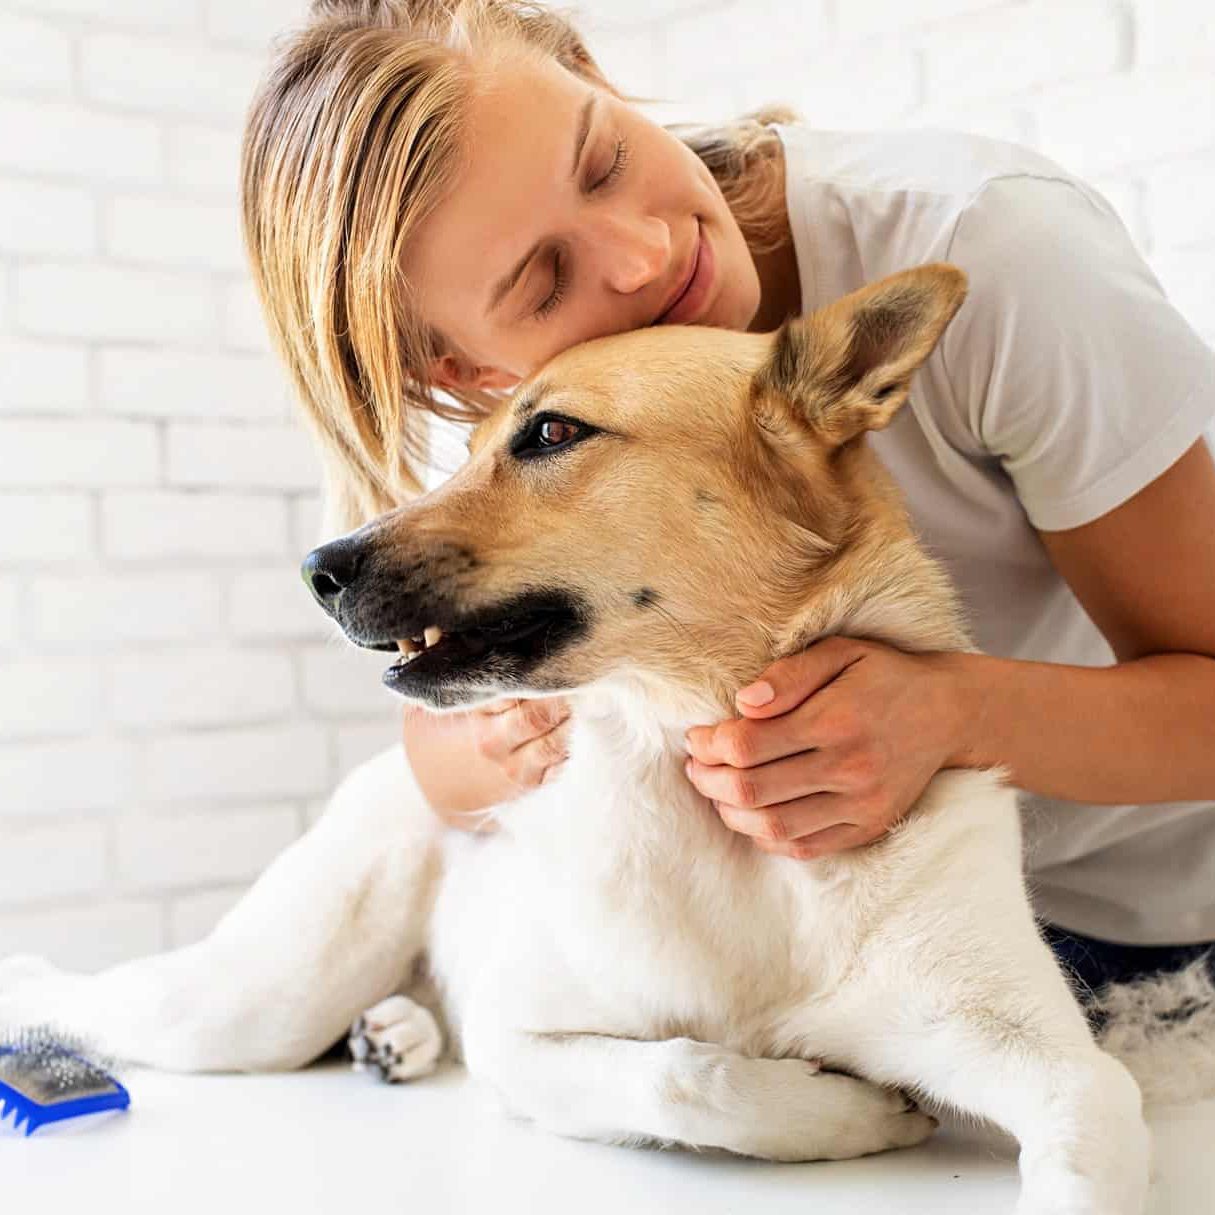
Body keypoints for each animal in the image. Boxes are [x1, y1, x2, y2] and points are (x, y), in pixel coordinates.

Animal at [4, 268, 1180, 1215]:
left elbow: (1084, 1114)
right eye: (477, 441)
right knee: (91, 994)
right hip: (258, 999)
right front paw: (850, 1112)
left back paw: (396, 1033)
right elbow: (689, 1072)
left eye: (551, 434)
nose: (316, 570)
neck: (688, 742)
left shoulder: (1044, 1059)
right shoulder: (525, 1040)